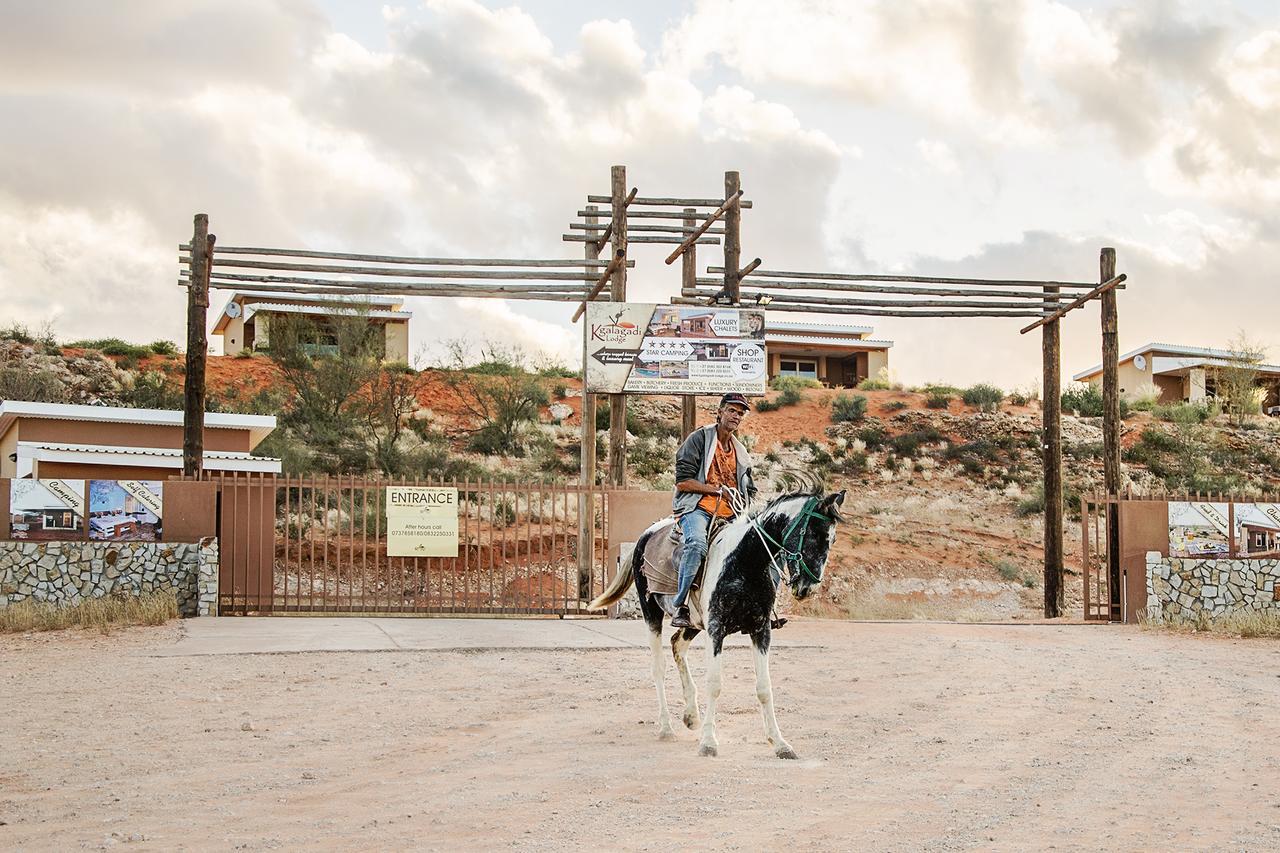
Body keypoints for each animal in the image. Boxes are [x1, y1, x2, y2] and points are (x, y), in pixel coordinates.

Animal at [588, 489, 849, 753]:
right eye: (814, 534)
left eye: (833, 539)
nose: (807, 587)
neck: (745, 561)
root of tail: (647, 533)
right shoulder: (716, 629)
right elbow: (714, 684)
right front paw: (708, 742)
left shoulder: (761, 629)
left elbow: (764, 687)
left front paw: (779, 743)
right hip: (651, 611)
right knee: (658, 667)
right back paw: (666, 728)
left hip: (692, 623)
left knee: (677, 645)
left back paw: (691, 716)